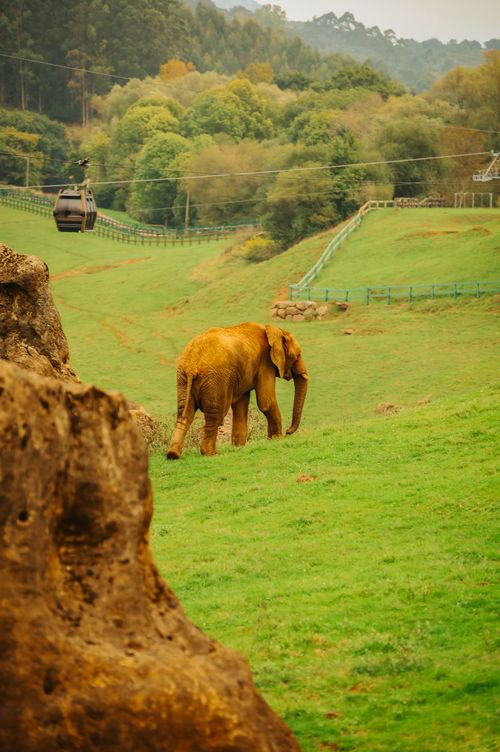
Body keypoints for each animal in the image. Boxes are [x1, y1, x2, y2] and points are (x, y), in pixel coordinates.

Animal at [166, 322, 309, 459]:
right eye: (297, 355)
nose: (288, 432)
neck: (273, 329)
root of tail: (192, 365)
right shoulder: (265, 363)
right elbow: (266, 402)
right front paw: (277, 439)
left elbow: (240, 406)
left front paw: (238, 448)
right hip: (216, 380)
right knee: (215, 415)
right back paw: (211, 454)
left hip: (183, 378)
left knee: (185, 413)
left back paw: (173, 455)